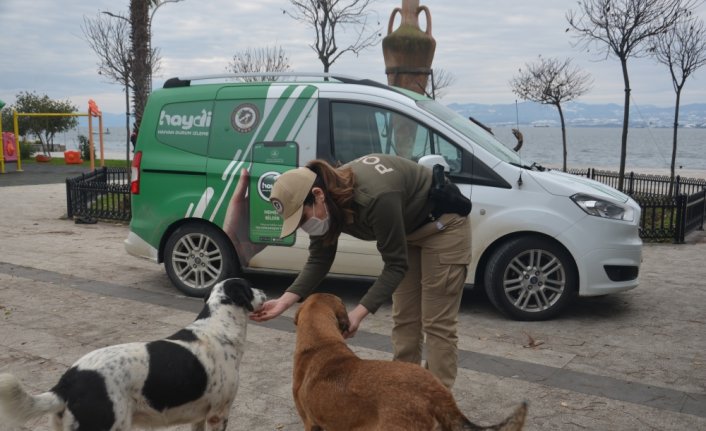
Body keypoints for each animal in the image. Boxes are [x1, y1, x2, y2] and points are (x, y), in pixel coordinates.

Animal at [0, 278, 264, 430]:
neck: (219, 325)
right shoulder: (219, 414)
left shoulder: (201, 415)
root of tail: (67, 383)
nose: (264, 293)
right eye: (250, 286)